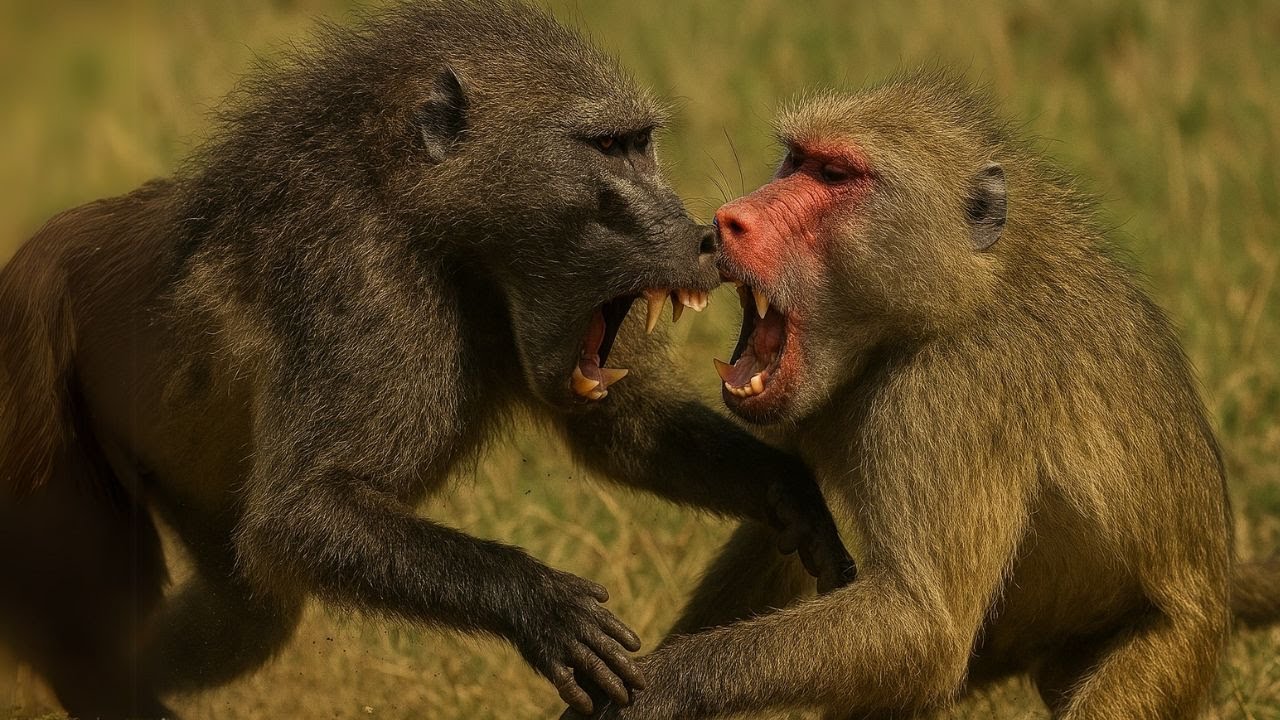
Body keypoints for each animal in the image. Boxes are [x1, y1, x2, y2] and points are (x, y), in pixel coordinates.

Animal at [0, 2, 855, 718]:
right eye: (608, 147)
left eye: (642, 143)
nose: (700, 236)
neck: (431, 222)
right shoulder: (365, 288)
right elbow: (302, 510)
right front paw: (540, 606)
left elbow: (626, 434)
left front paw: (791, 497)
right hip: (37, 417)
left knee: (240, 620)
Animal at [561, 71, 1280, 720]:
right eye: (796, 160)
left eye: (835, 176)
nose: (729, 219)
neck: (943, 299)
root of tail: (1217, 572)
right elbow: (786, 527)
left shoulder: (952, 391)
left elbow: (923, 626)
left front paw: (663, 686)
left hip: (1173, 647)